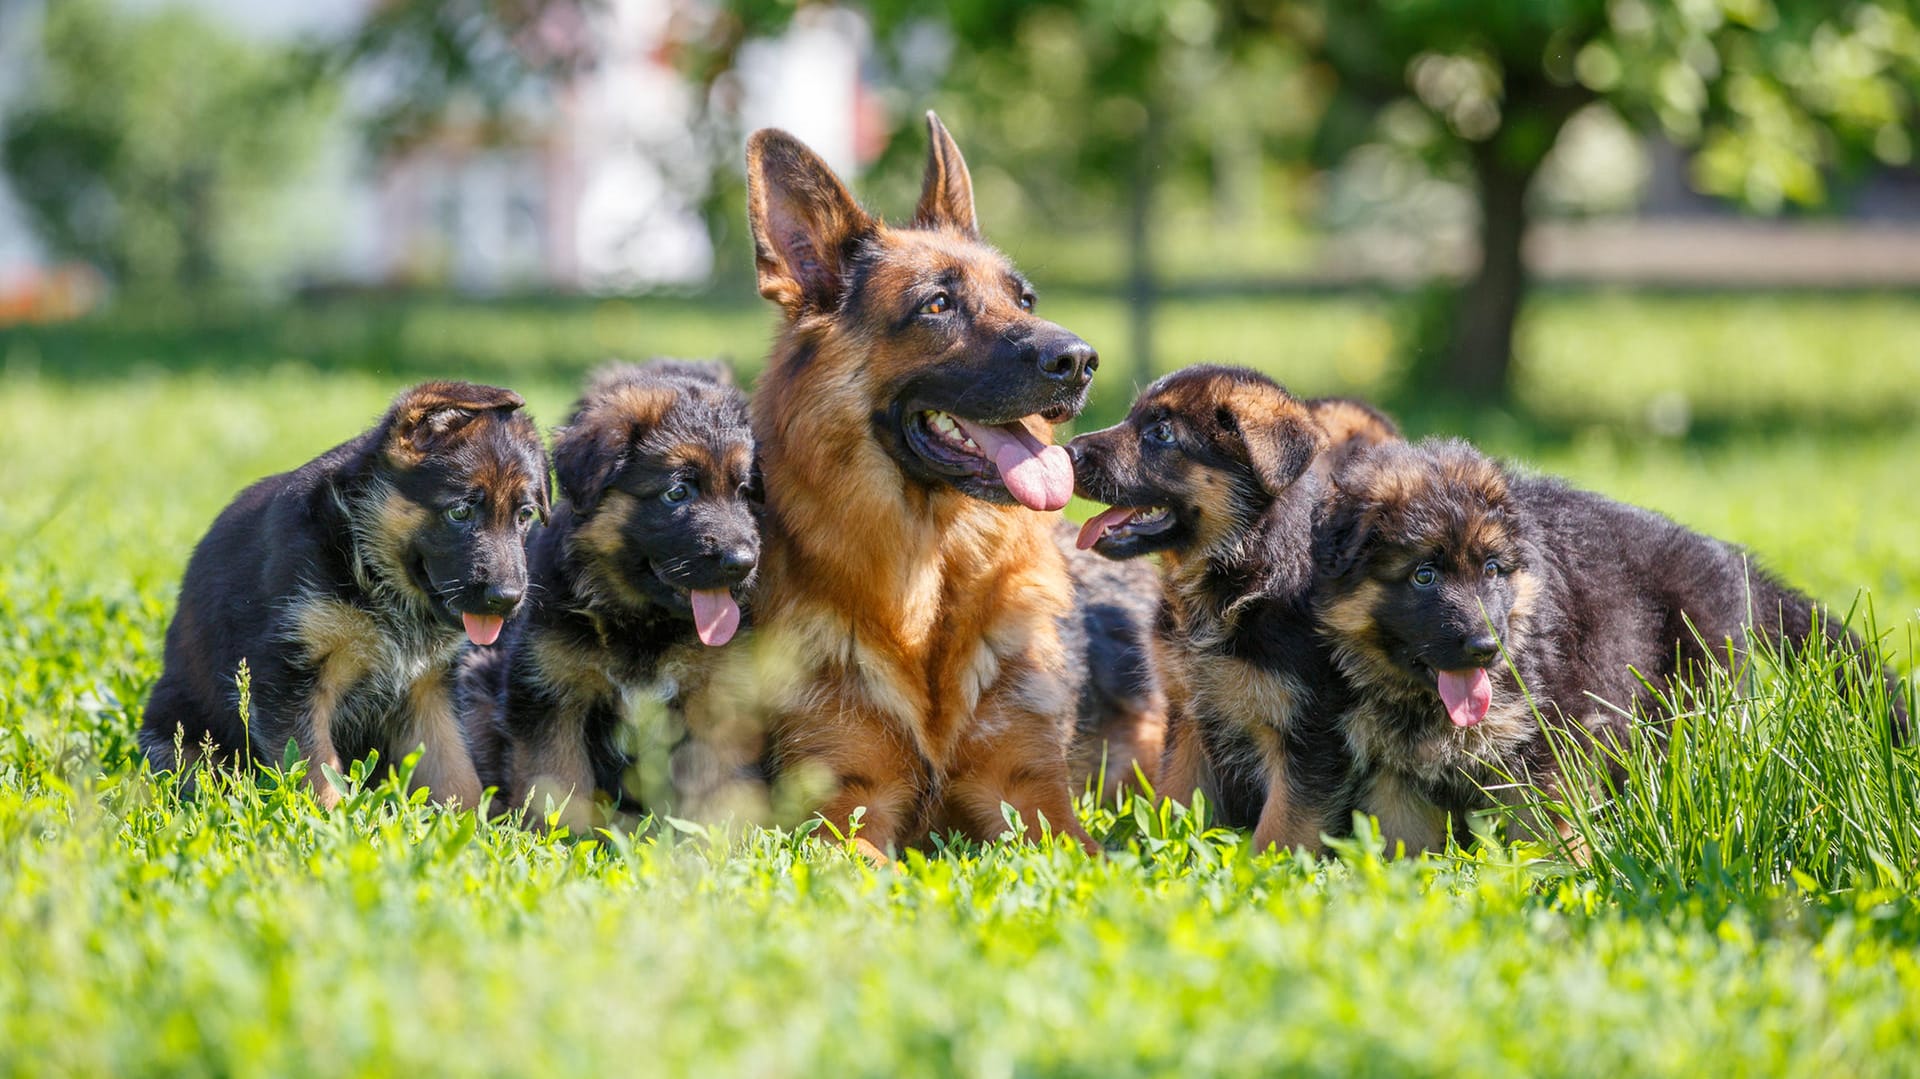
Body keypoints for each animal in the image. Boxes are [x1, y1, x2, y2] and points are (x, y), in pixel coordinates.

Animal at [140, 382, 549, 802]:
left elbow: (457, 775)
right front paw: (329, 819)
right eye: (460, 512)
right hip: (176, 734)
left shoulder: (430, 690)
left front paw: (470, 821)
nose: (508, 599)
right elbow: (318, 771)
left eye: (524, 516)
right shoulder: (290, 680)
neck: (366, 561)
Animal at [460, 357, 760, 825]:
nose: (742, 563)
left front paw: (721, 834)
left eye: (744, 492)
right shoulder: (550, 694)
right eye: (678, 492)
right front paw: (562, 834)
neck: (641, 623)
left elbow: (718, 781)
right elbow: (558, 780)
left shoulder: (716, 698)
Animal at [1067, 364, 1382, 852]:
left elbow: (1282, 829)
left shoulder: (1311, 736)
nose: (1066, 452)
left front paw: (1263, 867)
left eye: (1161, 434)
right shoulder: (1189, 718)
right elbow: (1172, 800)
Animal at [1320, 433, 1904, 848]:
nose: (1487, 647)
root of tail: (1726, 555)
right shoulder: (1393, 776)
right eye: (1423, 575)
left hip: (1689, 701)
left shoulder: (1548, 744)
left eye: (1491, 570)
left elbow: (1544, 838)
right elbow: (1403, 851)